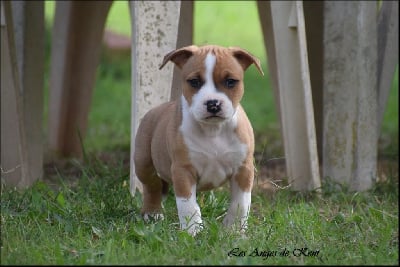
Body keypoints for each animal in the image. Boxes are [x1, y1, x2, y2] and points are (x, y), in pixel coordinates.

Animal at [130, 44, 262, 237]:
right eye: (194, 82)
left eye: (231, 81)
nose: (213, 104)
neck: (213, 130)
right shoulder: (183, 170)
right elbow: (187, 205)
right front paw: (192, 230)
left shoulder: (243, 169)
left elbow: (240, 203)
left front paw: (234, 230)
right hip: (143, 162)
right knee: (152, 185)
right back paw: (152, 212)